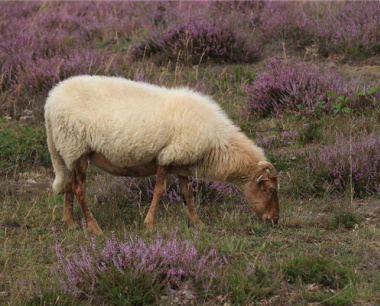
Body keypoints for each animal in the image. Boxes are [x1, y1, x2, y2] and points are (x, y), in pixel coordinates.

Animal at [45, 75, 280, 233]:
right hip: (76, 147)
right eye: (270, 190)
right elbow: (160, 191)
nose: (275, 221)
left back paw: (70, 222)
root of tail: (50, 101)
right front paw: (149, 224)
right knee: (78, 189)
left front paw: (197, 222)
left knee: (68, 185)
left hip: (71, 152)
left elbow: (188, 193)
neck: (218, 145)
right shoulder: (167, 157)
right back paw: (94, 228)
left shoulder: (182, 162)